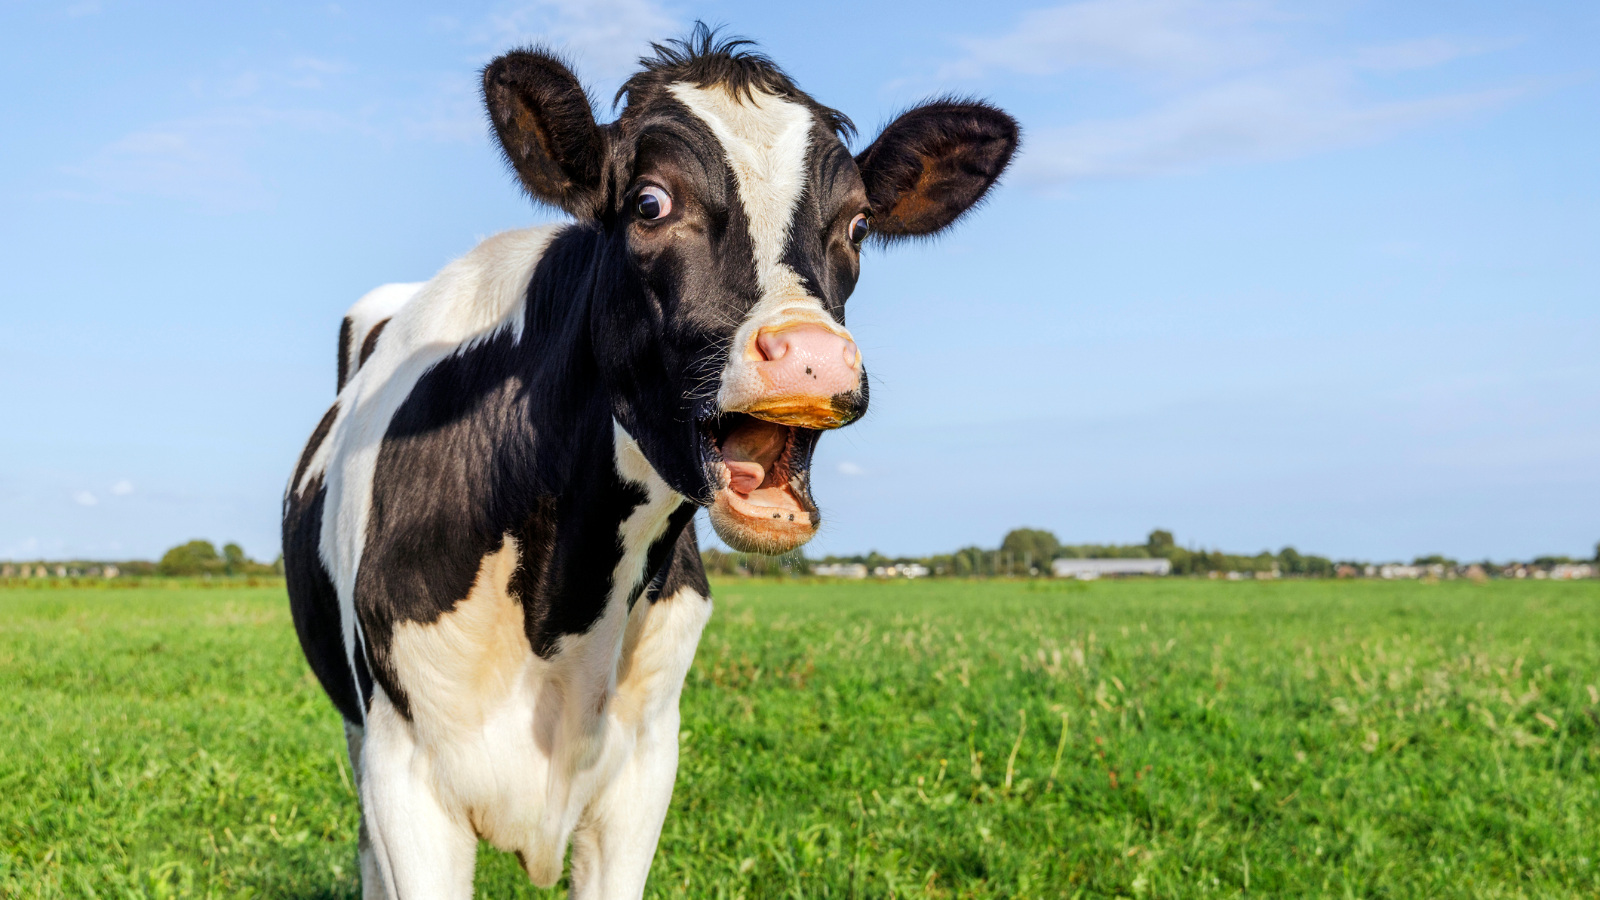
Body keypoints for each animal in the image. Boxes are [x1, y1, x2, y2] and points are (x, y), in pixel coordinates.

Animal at [283, 26, 1017, 899]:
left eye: (860, 224)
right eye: (650, 203)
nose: (813, 357)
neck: (562, 617)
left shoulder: (642, 773)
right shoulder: (406, 777)